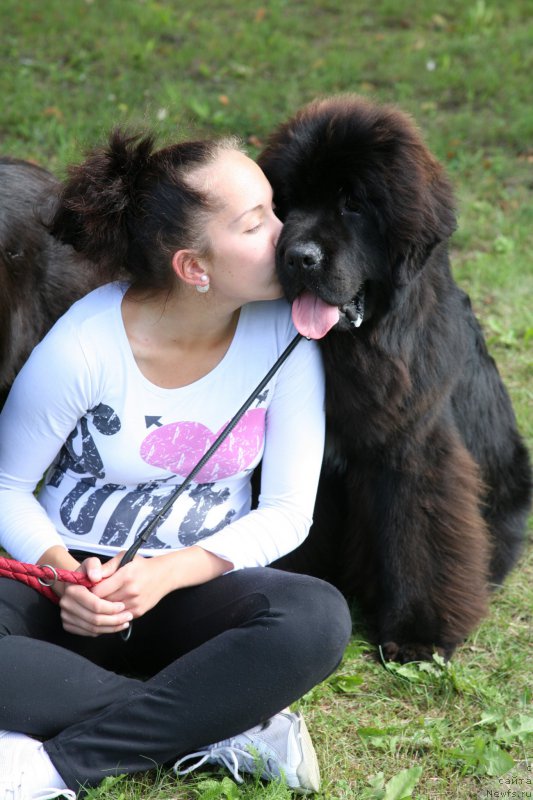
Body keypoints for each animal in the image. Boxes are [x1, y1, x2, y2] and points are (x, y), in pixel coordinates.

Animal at [258, 95, 528, 664]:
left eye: (353, 204)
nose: (297, 257)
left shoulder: (415, 449)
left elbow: (419, 536)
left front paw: (418, 635)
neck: (348, 349)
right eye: (286, 203)